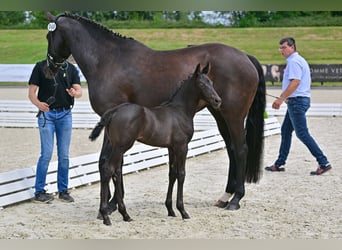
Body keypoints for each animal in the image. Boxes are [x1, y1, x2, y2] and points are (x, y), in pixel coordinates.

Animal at [88, 63, 222, 225]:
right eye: (202, 84)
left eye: (212, 82)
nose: (218, 101)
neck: (180, 111)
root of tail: (114, 111)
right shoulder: (182, 147)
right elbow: (182, 174)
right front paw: (183, 211)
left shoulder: (172, 148)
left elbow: (172, 174)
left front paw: (170, 210)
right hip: (121, 147)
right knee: (109, 169)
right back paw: (106, 216)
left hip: (115, 146)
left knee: (114, 171)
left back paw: (125, 215)